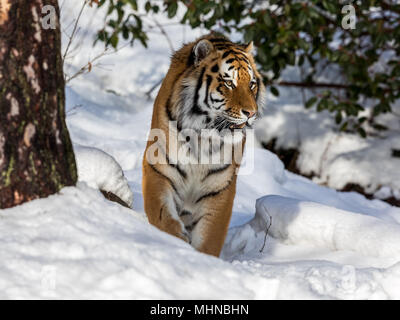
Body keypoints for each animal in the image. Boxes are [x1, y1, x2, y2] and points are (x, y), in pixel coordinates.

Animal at [142, 33, 264, 258]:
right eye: (229, 83)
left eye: (252, 84)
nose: (251, 113)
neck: (204, 135)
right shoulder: (159, 168)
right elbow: (161, 215)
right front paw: (177, 243)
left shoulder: (220, 187)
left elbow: (210, 239)